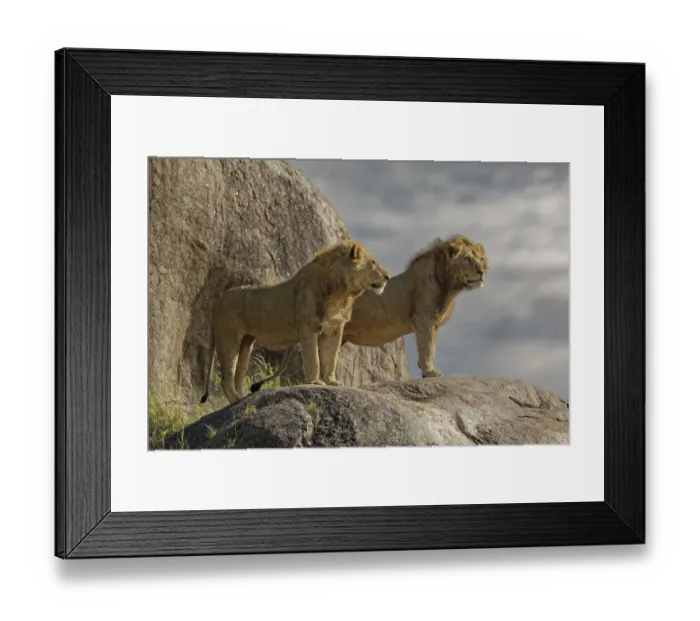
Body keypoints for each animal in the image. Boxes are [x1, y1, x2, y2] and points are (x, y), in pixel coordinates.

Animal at [200, 240, 390, 404]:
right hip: (228, 339)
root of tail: (218, 301)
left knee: (239, 375)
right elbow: (314, 358)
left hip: (246, 343)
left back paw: (243, 398)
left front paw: (332, 381)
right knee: (226, 378)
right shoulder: (308, 327)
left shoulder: (335, 328)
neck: (342, 294)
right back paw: (236, 400)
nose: (387, 277)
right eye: (373, 262)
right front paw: (315, 382)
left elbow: (331, 357)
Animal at [341, 235, 488, 378]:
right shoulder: (424, 319)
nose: (481, 271)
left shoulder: (435, 324)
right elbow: (426, 347)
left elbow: (432, 347)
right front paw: (429, 372)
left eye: (481, 259)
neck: (449, 287)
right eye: (467, 259)